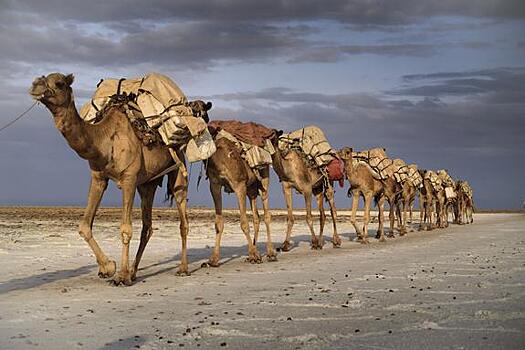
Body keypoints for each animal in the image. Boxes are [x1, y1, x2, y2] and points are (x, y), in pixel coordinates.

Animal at [28, 73, 207, 284]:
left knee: (182, 219)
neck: (104, 140)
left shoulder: (129, 178)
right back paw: (134, 271)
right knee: (147, 226)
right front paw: (108, 268)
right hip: (147, 184)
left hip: (177, 167)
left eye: (59, 83)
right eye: (42, 78)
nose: (35, 85)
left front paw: (120, 275)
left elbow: (125, 229)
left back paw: (182, 268)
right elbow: (84, 226)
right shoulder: (98, 178)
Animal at [202, 135, 274, 268]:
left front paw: (253, 256)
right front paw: (213, 260)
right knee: (256, 217)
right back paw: (256, 252)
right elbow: (218, 223)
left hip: (264, 177)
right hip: (251, 188)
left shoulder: (239, 184)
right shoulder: (214, 185)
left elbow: (244, 223)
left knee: (266, 212)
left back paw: (271, 253)